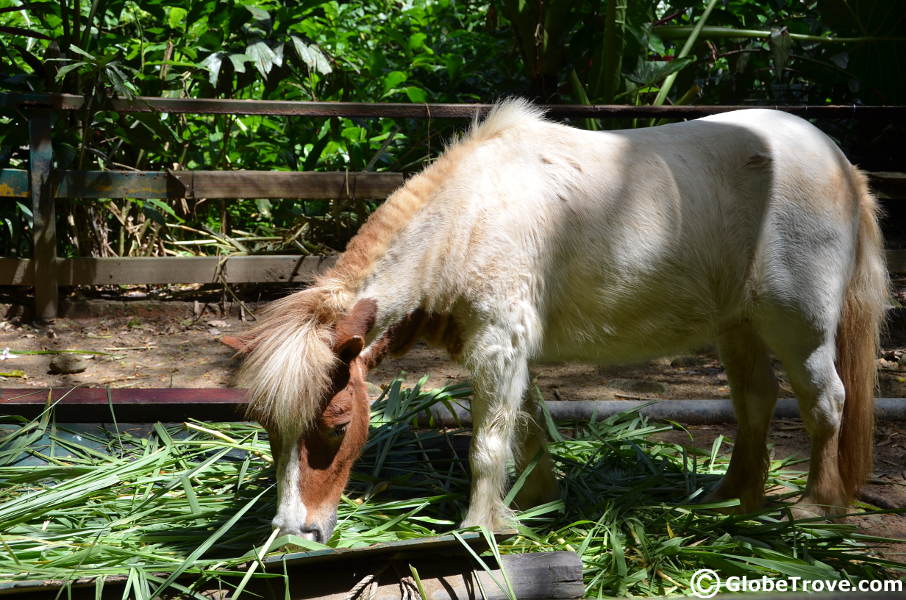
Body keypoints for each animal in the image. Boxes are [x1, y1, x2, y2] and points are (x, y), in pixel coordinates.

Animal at [237, 99, 888, 544]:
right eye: (269, 427)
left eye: (336, 423)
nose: (294, 533)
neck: (467, 220)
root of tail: (838, 160)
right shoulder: (509, 353)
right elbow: (525, 432)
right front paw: (533, 505)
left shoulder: (498, 347)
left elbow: (488, 446)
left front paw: (480, 528)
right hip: (740, 328)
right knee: (756, 402)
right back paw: (731, 498)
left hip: (800, 328)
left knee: (825, 402)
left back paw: (817, 507)